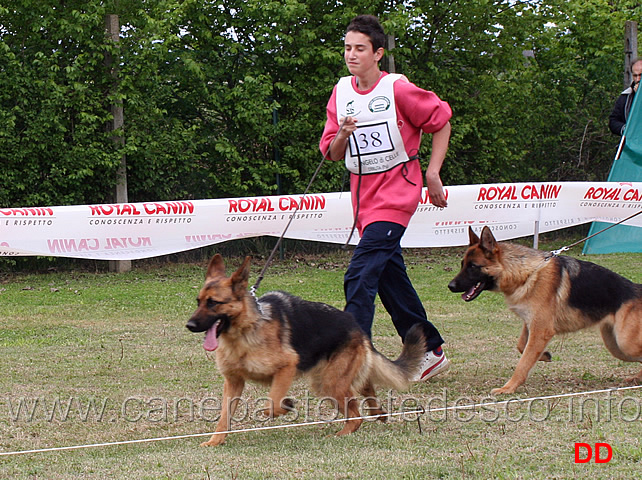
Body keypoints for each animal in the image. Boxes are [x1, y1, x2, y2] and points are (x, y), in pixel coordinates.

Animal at [185, 255, 424, 446]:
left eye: (213, 303)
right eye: (198, 301)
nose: (189, 325)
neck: (245, 330)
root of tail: (356, 326)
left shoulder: (287, 367)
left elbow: (272, 403)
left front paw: (287, 405)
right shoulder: (233, 383)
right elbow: (224, 417)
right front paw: (215, 441)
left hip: (329, 383)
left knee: (356, 416)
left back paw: (340, 434)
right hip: (334, 379)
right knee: (368, 392)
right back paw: (379, 414)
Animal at [444, 227, 640, 396]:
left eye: (473, 266)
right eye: (462, 264)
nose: (450, 286)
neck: (526, 273)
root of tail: (638, 288)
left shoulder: (541, 330)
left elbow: (523, 362)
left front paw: (508, 388)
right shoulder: (530, 323)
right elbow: (522, 346)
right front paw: (544, 356)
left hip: (624, 343)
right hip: (615, 345)